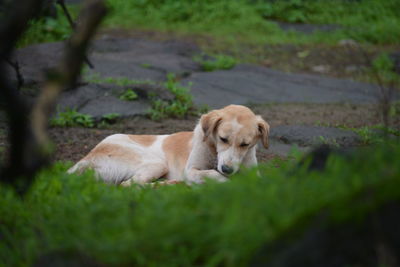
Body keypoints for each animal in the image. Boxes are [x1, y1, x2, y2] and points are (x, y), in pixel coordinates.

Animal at [68, 105, 268, 186]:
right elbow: (215, 175)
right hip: (156, 163)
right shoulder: (192, 170)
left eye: (245, 144)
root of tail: (87, 156)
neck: (213, 151)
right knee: (128, 186)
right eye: (223, 139)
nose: (227, 169)